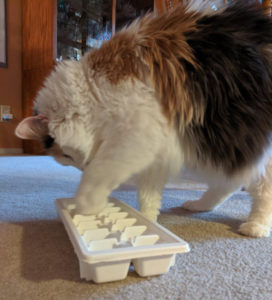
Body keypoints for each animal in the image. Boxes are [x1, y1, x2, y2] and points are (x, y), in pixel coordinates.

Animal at [15, 1, 272, 237]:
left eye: (66, 156)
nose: (81, 165)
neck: (92, 88)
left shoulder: (135, 136)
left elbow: (97, 174)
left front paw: (85, 205)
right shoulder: (158, 148)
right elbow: (148, 195)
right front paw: (147, 220)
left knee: (262, 188)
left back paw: (256, 226)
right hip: (223, 144)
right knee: (229, 182)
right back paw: (199, 205)